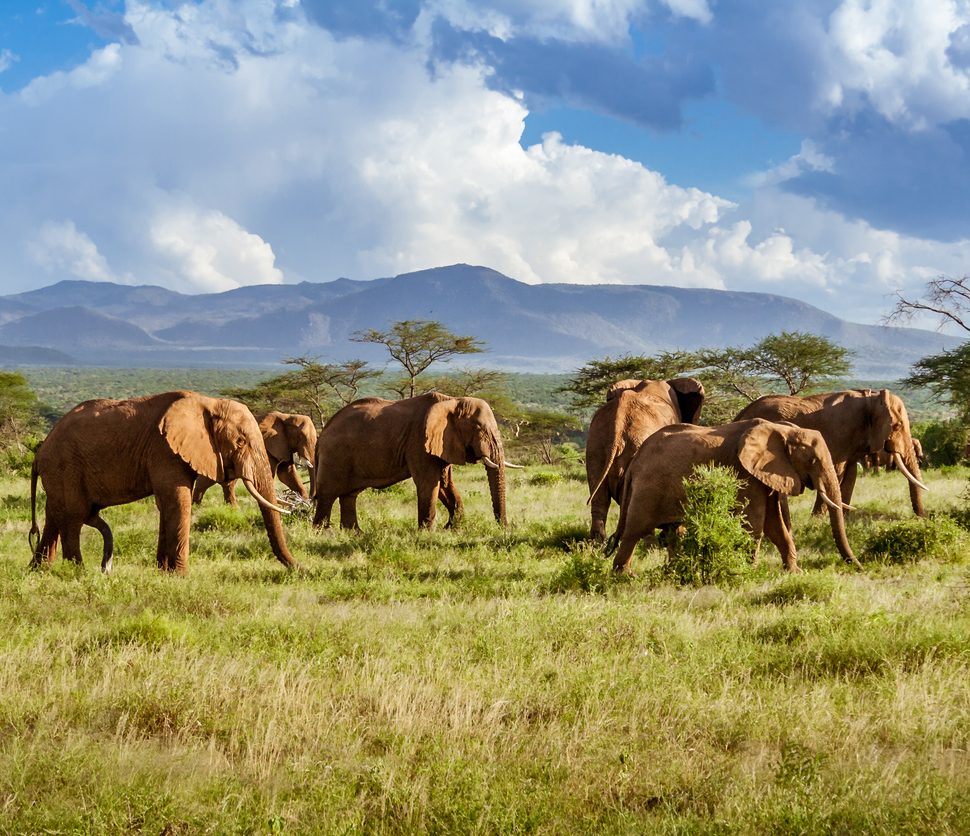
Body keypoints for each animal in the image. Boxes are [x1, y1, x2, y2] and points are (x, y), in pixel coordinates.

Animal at [28, 390, 296, 576]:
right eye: (240, 442)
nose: (298, 568)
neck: (207, 402)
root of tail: (40, 452)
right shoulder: (164, 449)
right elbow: (177, 502)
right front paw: (181, 576)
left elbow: (166, 505)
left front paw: (163, 572)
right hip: (65, 467)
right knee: (73, 517)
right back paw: (77, 573)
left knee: (55, 516)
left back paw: (39, 571)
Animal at [316, 392, 516, 528]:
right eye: (479, 427)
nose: (504, 528)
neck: (452, 400)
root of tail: (323, 432)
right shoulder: (419, 441)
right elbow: (429, 483)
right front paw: (428, 533)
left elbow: (444, 484)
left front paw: (452, 529)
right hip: (334, 456)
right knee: (327, 495)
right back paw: (324, 534)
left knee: (349, 495)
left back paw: (354, 534)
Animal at [608, 418, 860, 576]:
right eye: (813, 460)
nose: (859, 568)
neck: (781, 430)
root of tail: (635, 461)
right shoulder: (745, 473)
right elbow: (754, 523)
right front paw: (750, 572)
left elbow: (774, 525)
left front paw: (795, 572)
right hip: (648, 487)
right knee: (634, 531)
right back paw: (624, 576)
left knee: (674, 531)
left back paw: (674, 571)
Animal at [732, 390, 924, 516]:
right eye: (897, 426)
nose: (922, 517)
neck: (872, 397)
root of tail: (741, 413)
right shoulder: (840, 433)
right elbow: (838, 472)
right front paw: (818, 519)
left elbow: (850, 475)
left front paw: (844, 517)